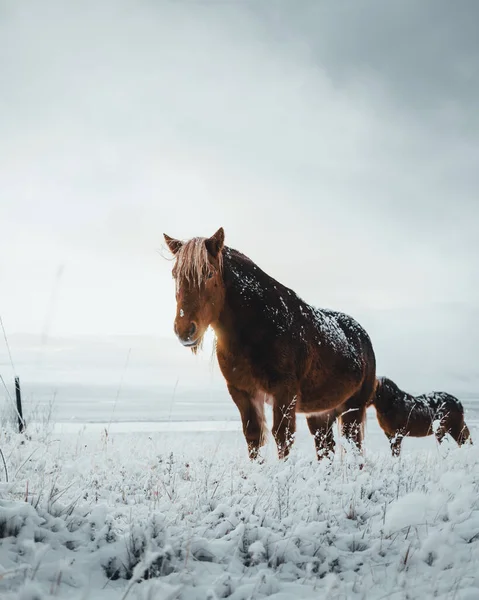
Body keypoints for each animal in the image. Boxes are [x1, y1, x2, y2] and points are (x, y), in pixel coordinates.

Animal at [165, 227, 378, 462]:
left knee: (354, 447)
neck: (260, 327)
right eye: (175, 275)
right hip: (321, 413)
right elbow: (253, 436)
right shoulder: (242, 392)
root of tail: (362, 335)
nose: (185, 330)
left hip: (353, 410)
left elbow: (282, 436)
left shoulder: (284, 392)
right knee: (326, 447)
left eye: (209, 273)